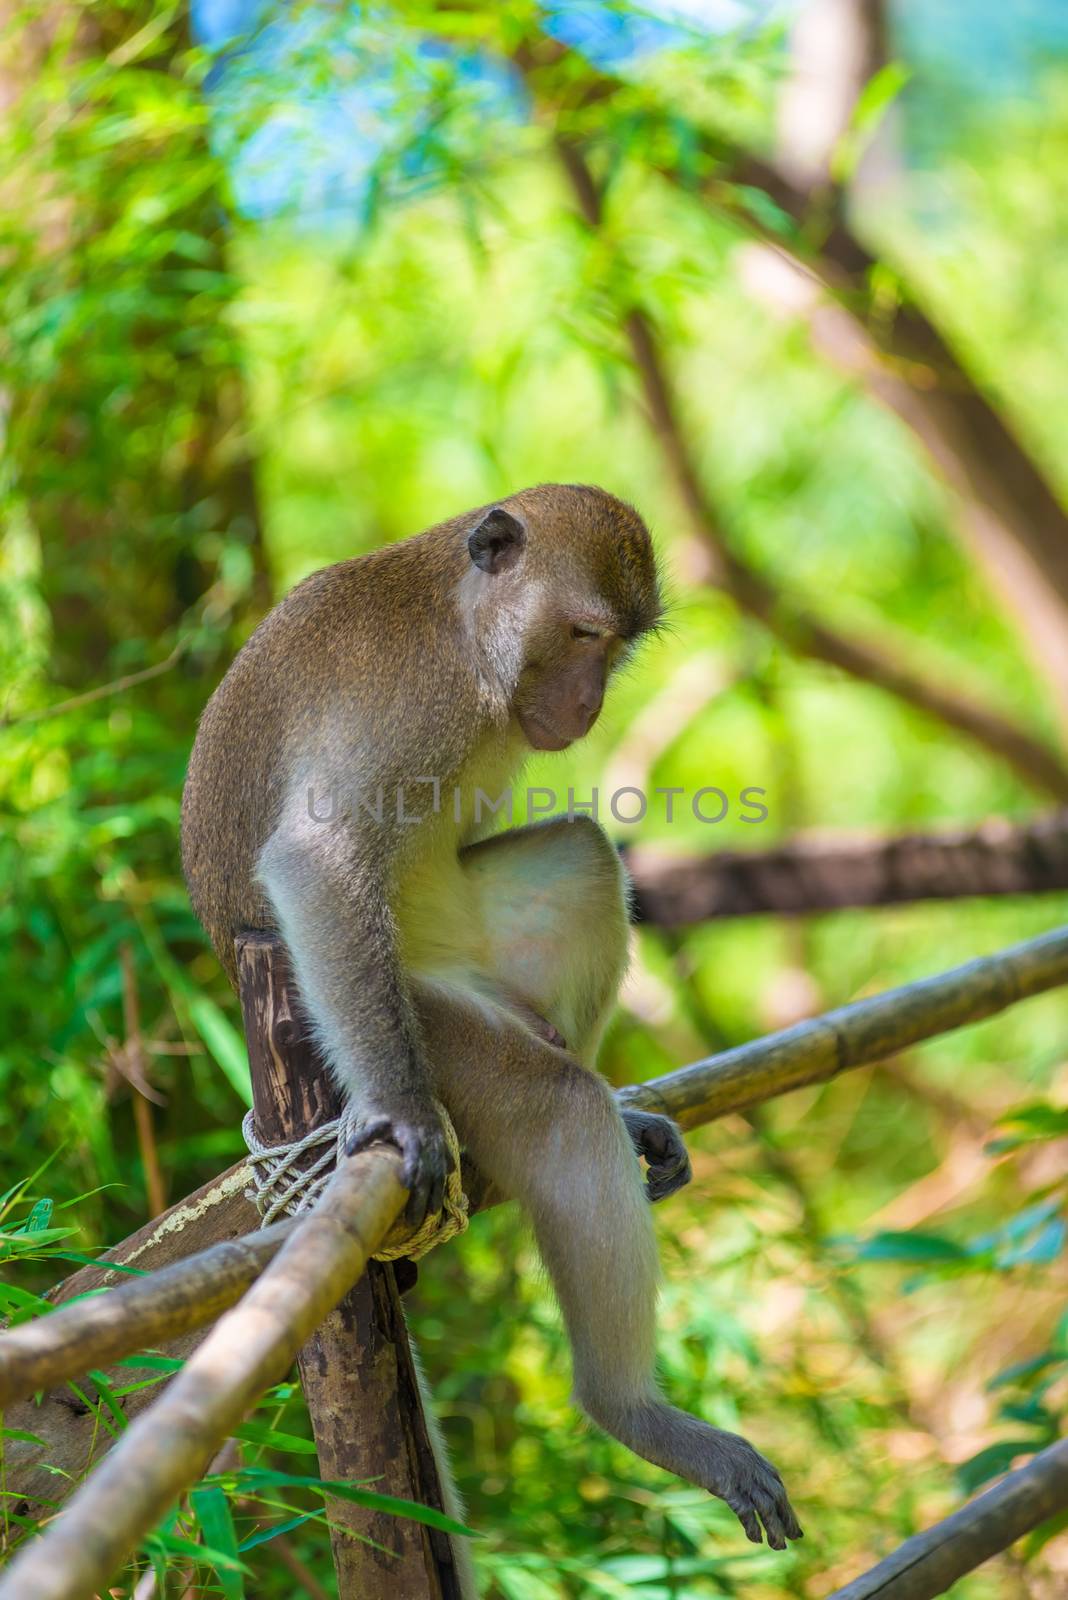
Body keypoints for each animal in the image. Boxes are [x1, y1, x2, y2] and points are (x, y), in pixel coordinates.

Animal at [181, 480, 799, 1555]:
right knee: (551, 1105)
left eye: (619, 646)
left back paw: (614, 1107)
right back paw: (630, 1410)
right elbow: (316, 860)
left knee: (584, 858)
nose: (589, 705)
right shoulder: (404, 700)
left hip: (476, 953)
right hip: (420, 1017)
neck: (468, 641)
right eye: (583, 633)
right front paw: (402, 1115)